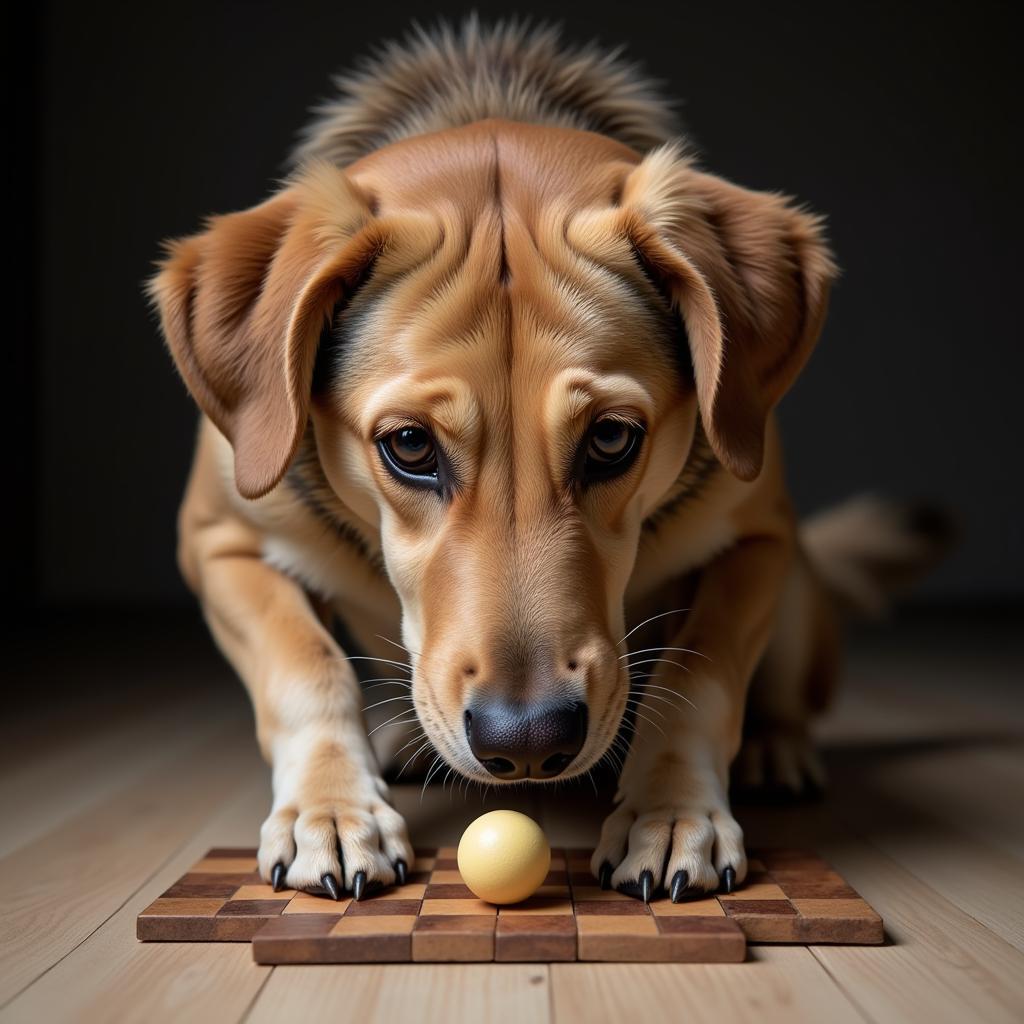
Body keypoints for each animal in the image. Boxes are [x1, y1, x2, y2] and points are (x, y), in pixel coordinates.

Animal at [148, 18, 946, 905]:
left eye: (611, 438)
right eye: (409, 446)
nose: (527, 741)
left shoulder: (758, 541)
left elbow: (697, 677)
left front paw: (673, 813)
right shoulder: (221, 544)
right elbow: (304, 666)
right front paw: (331, 809)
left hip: (799, 589)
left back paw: (777, 748)